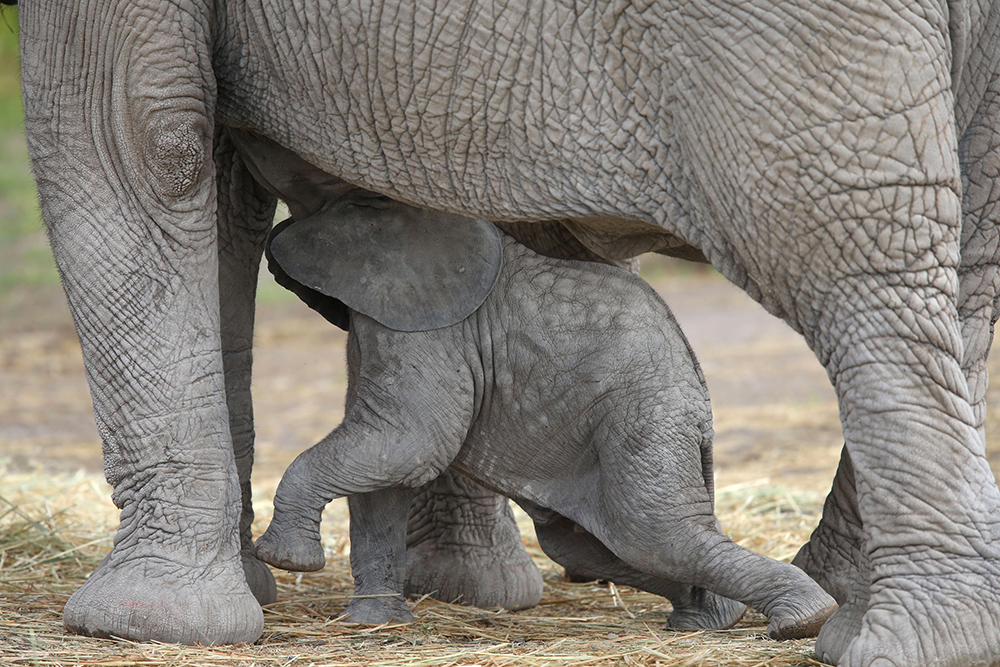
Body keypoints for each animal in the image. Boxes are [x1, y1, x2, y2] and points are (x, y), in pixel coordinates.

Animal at [252, 205, 836, 640]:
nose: (273, 243)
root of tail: (703, 411)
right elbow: (386, 471)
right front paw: (372, 625)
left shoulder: (429, 328)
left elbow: (407, 445)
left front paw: (284, 558)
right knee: (587, 544)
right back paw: (708, 619)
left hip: (645, 425)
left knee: (654, 535)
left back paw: (803, 620)